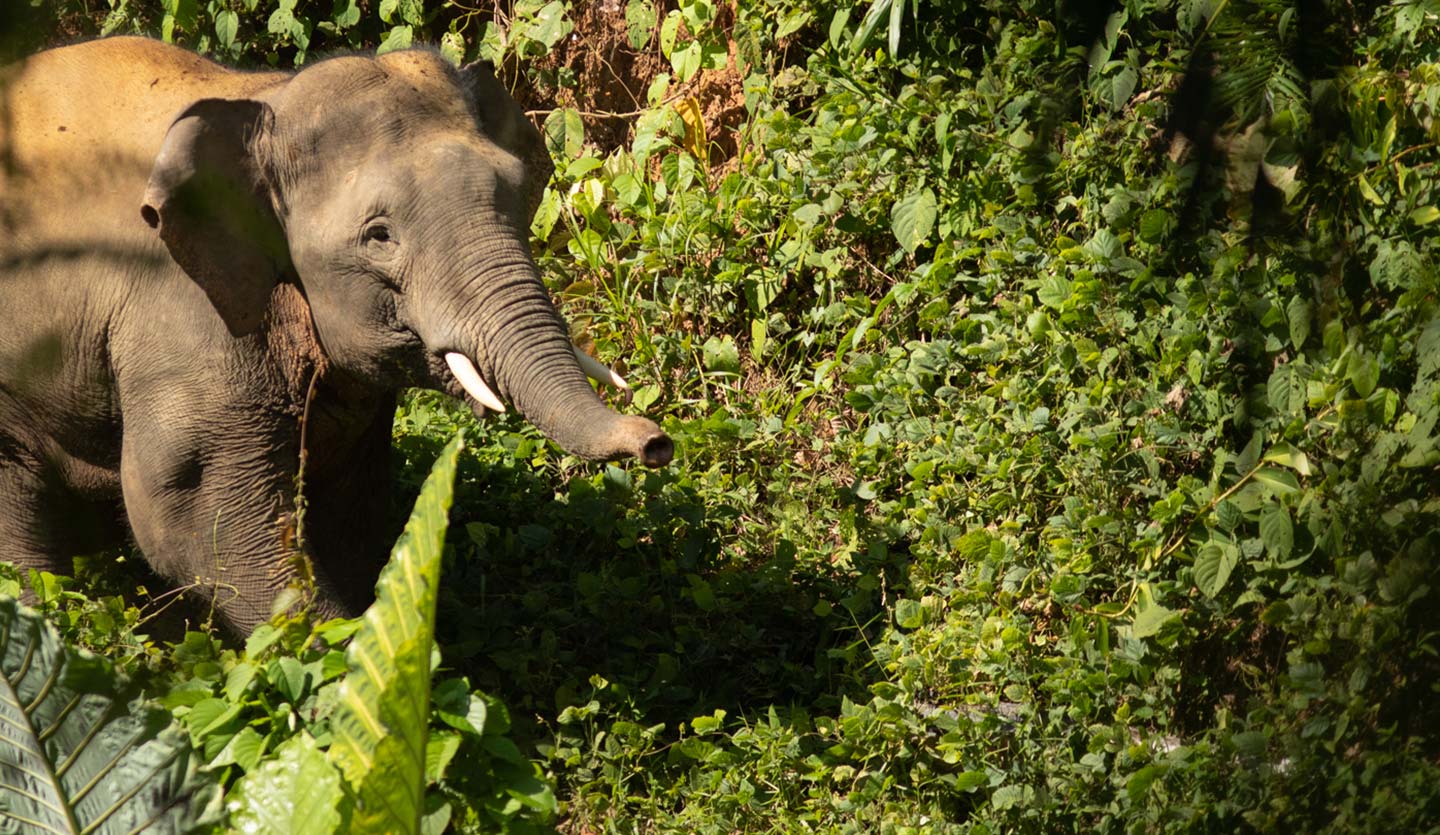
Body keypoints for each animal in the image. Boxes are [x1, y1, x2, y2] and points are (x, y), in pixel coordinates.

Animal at [0, 37, 672, 634]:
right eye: (379, 235)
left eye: (518, 191)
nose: (655, 442)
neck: (264, 97)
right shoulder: (181, 320)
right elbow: (191, 514)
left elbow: (351, 510)